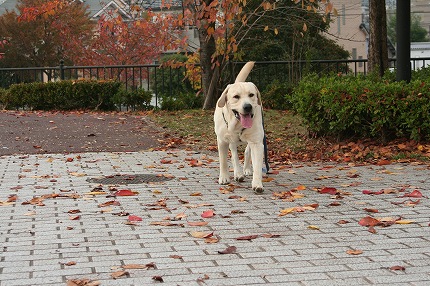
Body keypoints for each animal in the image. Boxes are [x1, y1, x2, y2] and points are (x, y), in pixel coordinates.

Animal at [213, 61, 264, 193]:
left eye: (251, 95)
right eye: (236, 96)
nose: (248, 107)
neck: (237, 124)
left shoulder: (257, 142)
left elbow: (257, 165)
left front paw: (257, 184)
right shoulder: (222, 141)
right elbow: (223, 161)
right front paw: (224, 178)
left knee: (247, 152)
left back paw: (246, 169)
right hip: (230, 140)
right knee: (234, 154)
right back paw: (238, 173)